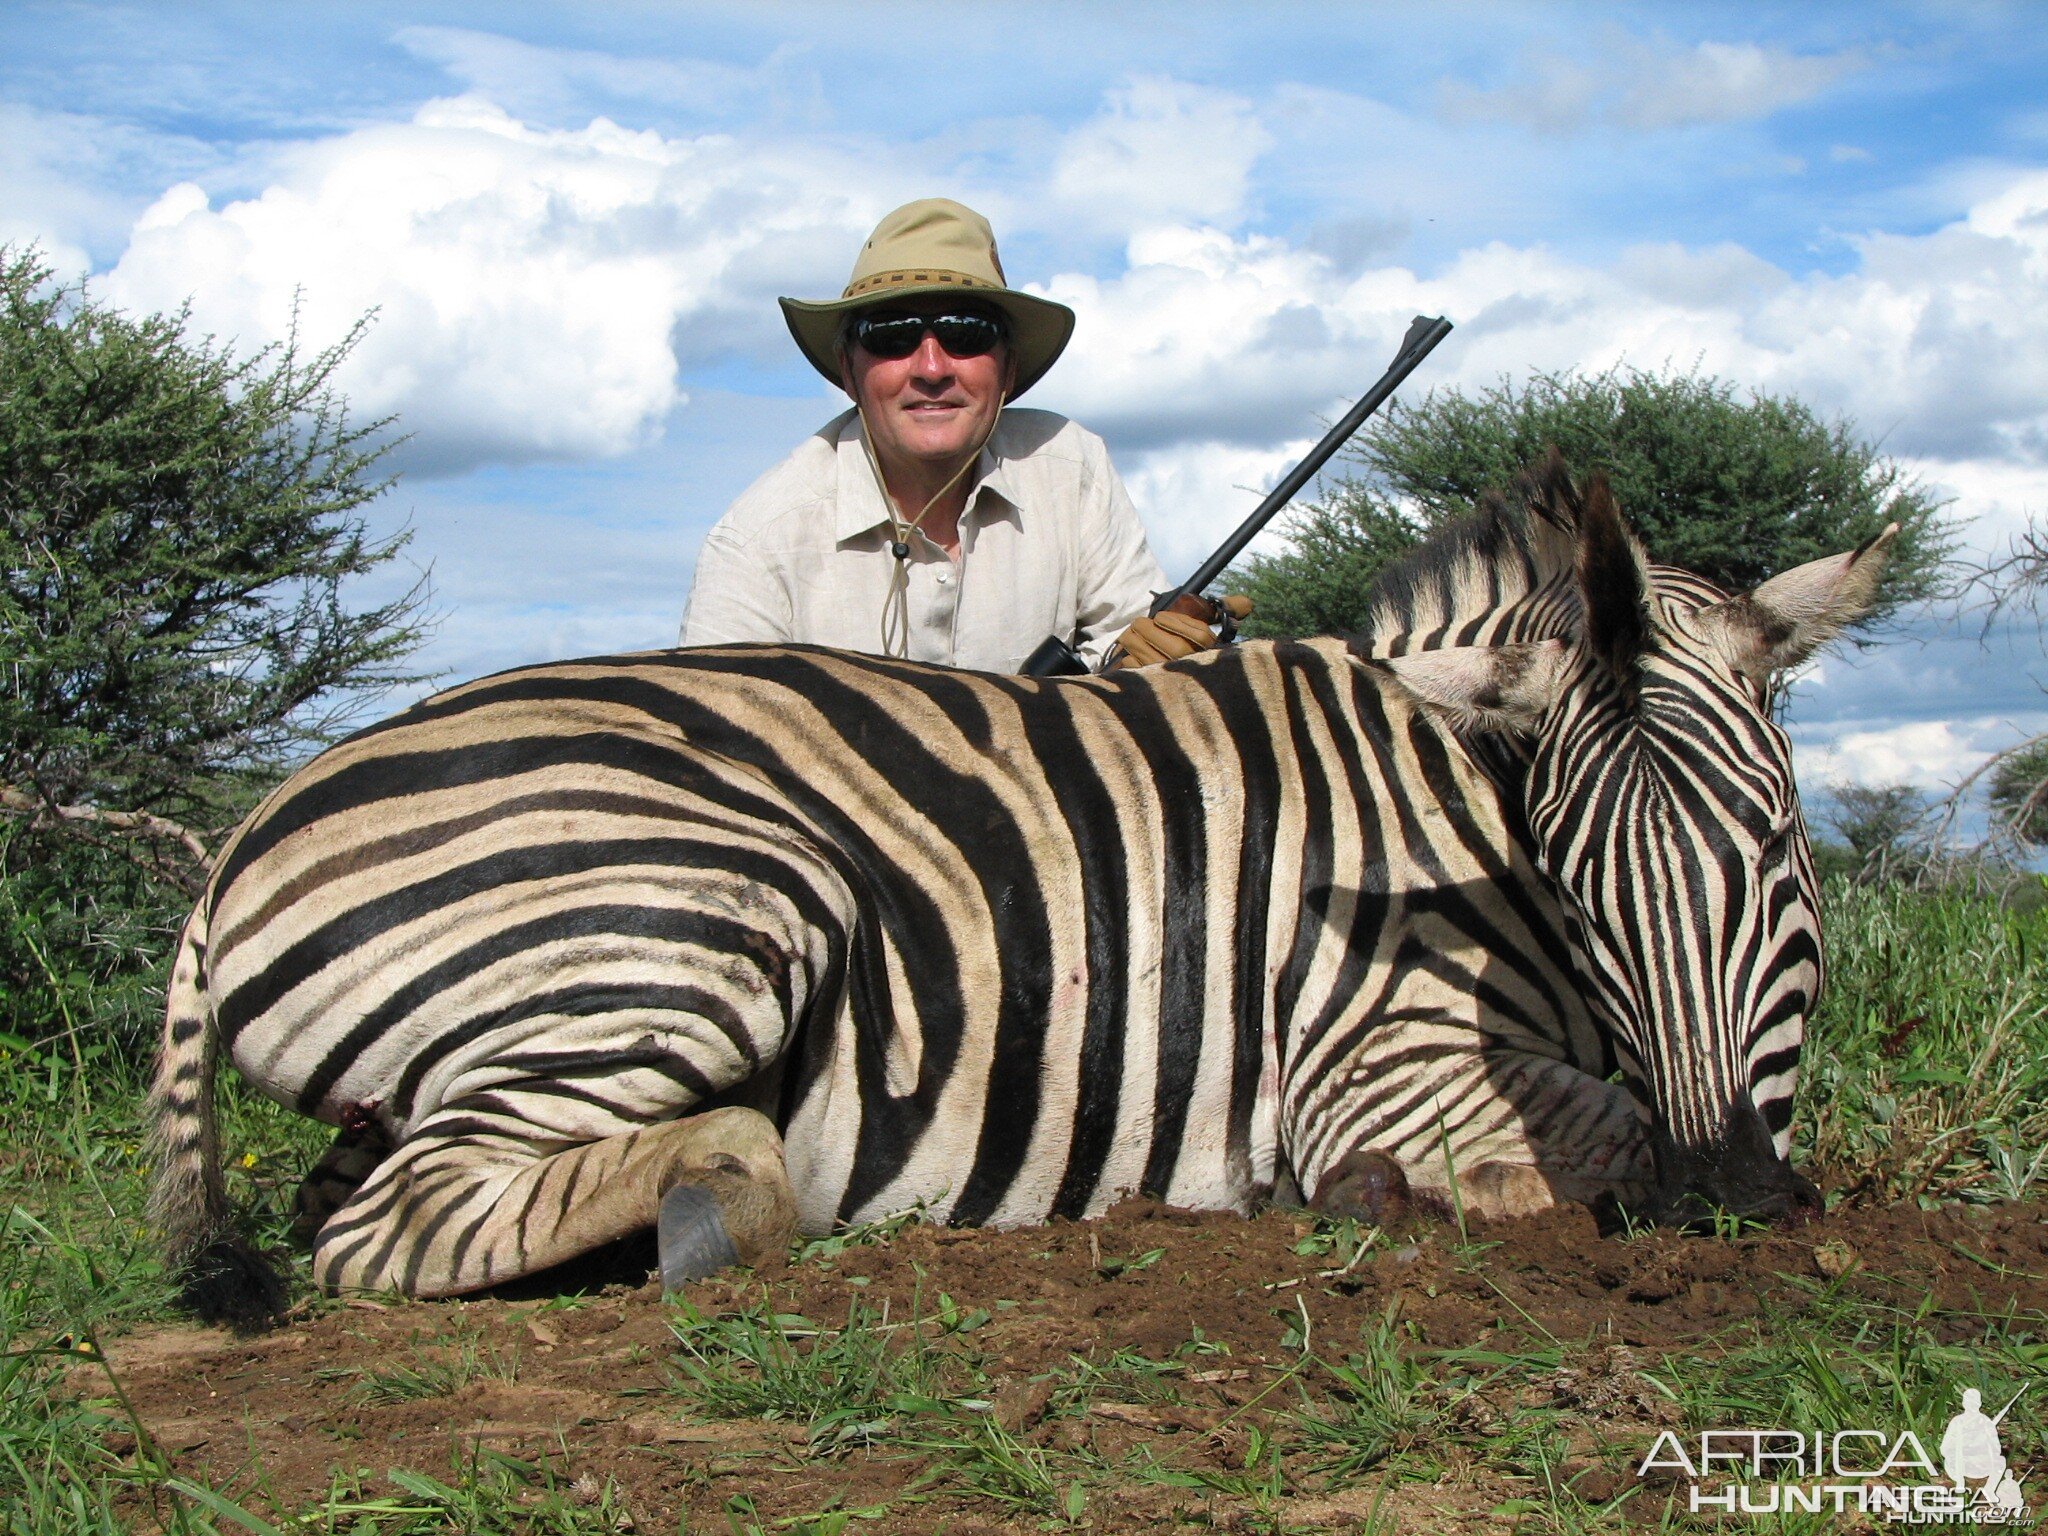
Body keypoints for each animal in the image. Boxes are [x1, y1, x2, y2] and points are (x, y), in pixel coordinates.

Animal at [155, 454, 1884, 1327]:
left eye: (1775, 848)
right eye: (1584, 890)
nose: (1730, 1204)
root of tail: (240, 842)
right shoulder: (1365, 1061)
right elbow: (1580, 1142)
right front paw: (1394, 1201)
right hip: (714, 915)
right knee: (393, 1225)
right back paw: (717, 1196)